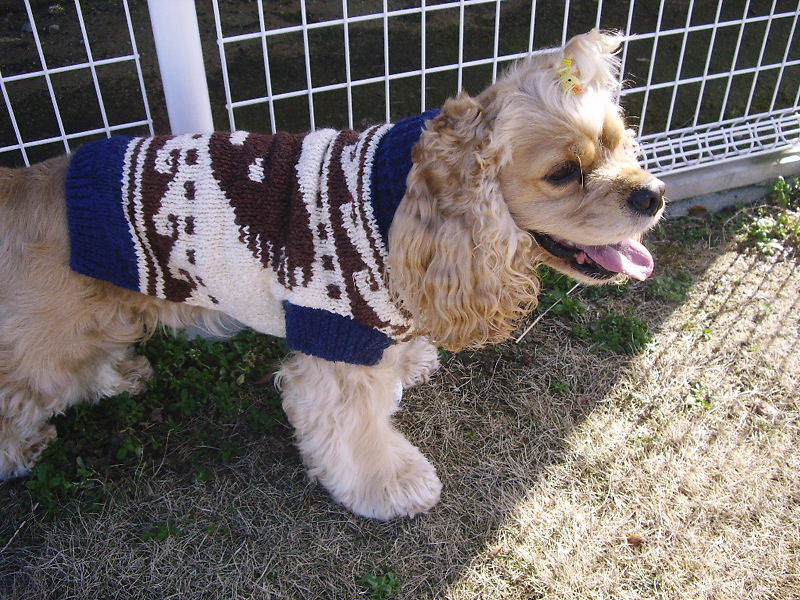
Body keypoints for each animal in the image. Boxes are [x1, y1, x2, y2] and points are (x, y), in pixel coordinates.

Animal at [0, 30, 664, 520]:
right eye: (563, 173)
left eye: (617, 141)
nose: (653, 195)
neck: (393, 203)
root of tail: (22, 184)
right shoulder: (333, 340)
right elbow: (354, 430)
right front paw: (395, 484)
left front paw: (409, 362)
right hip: (47, 338)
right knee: (19, 390)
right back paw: (21, 448)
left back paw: (121, 376)